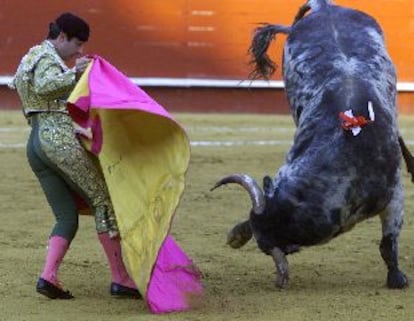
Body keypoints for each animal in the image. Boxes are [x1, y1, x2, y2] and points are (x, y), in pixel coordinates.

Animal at [213, 0, 414, 290]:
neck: (346, 159)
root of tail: (324, 7)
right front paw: (238, 233)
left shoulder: (394, 194)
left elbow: (389, 242)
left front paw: (397, 278)